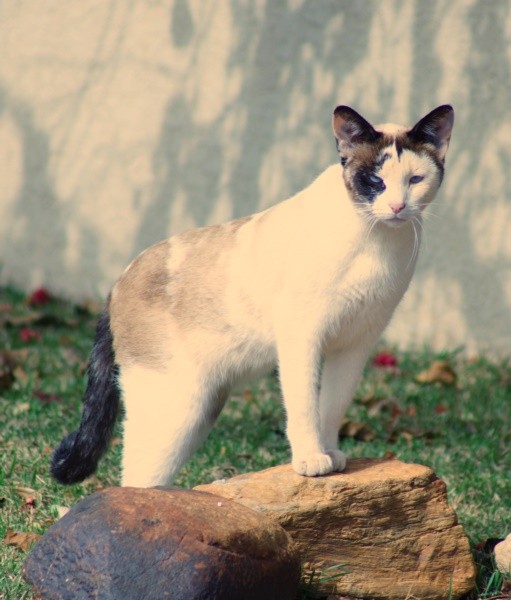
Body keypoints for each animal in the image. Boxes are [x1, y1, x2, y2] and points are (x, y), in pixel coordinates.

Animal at [50, 104, 454, 488]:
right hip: (176, 407)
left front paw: (330, 455)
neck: (377, 241)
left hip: (199, 412)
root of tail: (117, 283)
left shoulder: (355, 344)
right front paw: (312, 461)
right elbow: (304, 405)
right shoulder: (303, 337)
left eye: (415, 180)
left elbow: (331, 407)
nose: (397, 207)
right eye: (375, 180)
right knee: (133, 481)